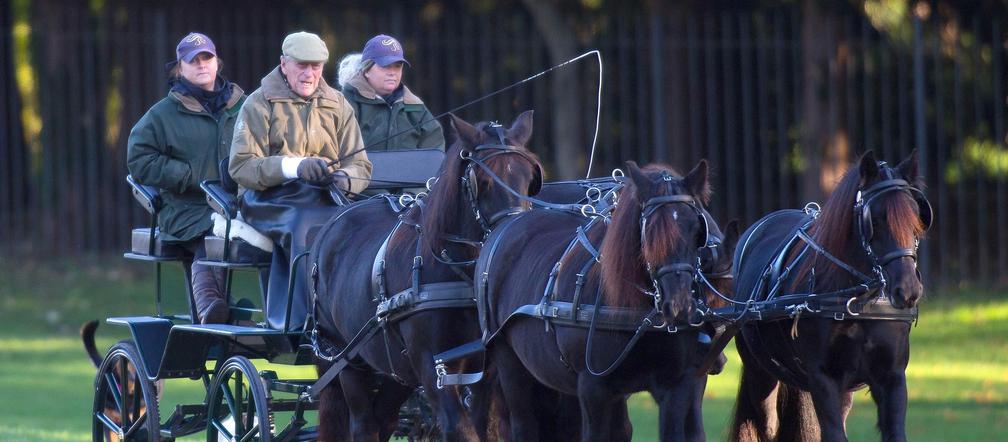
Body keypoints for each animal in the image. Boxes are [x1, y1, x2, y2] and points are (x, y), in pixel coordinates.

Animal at [310, 109, 544, 437]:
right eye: (482, 181)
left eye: (529, 178)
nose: (511, 235)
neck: (458, 272)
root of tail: (334, 221)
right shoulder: (432, 369)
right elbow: (459, 428)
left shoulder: (486, 372)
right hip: (347, 359)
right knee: (363, 422)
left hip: (394, 368)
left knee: (384, 418)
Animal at [479, 160, 717, 439]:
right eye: (650, 232)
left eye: (696, 229)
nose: (678, 306)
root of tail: (506, 225)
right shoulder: (593, 388)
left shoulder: (678, 385)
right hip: (510, 363)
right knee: (525, 423)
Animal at [729, 151, 931, 442]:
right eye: (875, 220)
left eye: (916, 218)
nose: (908, 290)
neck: (856, 303)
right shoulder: (823, 379)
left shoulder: (892, 378)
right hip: (760, 373)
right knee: (767, 425)